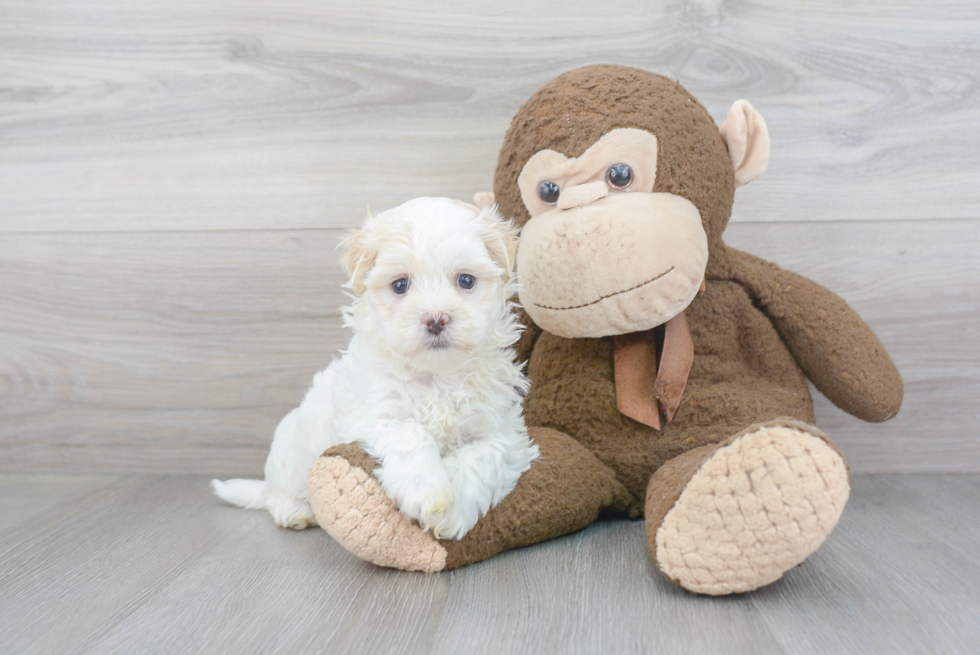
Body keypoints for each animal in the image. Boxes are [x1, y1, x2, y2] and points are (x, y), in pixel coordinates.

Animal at [210, 197, 540, 540]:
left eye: (465, 280)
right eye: (400, 285)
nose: (436, 319)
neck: (436, 376)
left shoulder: (500, 430)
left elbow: (480, 457)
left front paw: (451, 511)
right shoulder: (373, 415)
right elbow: (410, 433)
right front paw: (426, 491)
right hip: (291, 456)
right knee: (276, 493)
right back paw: (294, 511)